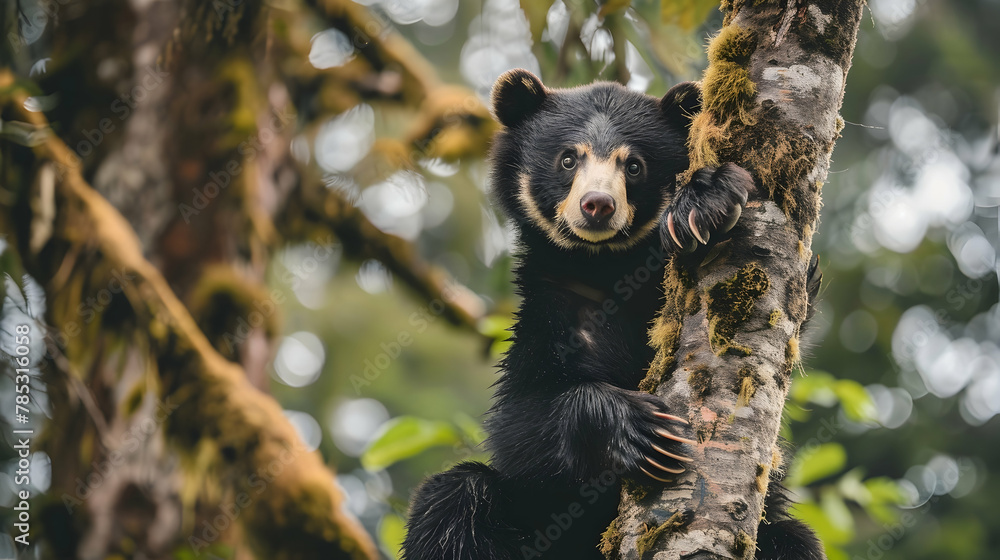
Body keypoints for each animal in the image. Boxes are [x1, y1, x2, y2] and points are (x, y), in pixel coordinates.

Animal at [401, 69, 824, 560]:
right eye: (568, 159)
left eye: (634, 165)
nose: (598, 204)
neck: (604, 270)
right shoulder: (548, 316)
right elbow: (521, 425)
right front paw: (640, 429)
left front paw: (707, 201)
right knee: (454, 498)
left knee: (792, 538)